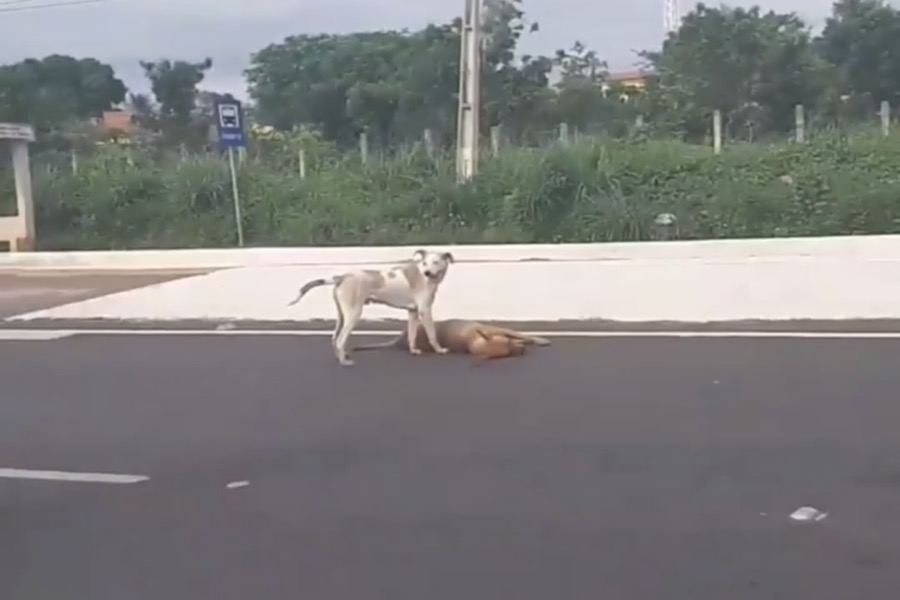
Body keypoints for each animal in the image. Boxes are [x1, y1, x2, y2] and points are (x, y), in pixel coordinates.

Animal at [288, 248, 454, 366]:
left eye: (436, 262)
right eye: (425, 263)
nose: (427, 273)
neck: (425, 277)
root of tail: (343, 277)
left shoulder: (413, 312)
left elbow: (412, 335)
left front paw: (413, 351)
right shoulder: (425, 311)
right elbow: (432, 334)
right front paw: (439, 350)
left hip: (341, 316)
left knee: (334, 338)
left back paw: (340, 356)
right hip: (354, 314)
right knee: (341, 339)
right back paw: (344, 361)